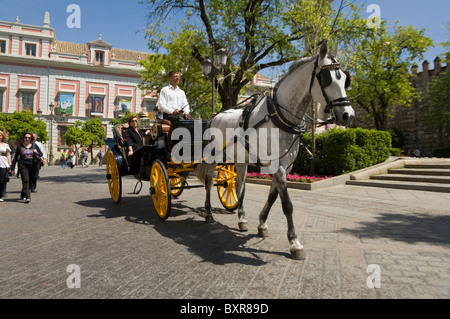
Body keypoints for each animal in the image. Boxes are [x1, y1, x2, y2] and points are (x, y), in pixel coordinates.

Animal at [195, 40, 354, 260]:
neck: (279, 116)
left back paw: (242, 219)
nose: (348, 115)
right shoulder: (276, 166)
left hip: (241, 160)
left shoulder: (286, 166)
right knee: (210, 182)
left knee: (239, 185)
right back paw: (209, 212)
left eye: (345, 79)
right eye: (326, 78)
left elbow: (272, 197)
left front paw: (262, 224)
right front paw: (295, 242)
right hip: (213, 157)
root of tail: (215, 115)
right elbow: (287, 204)